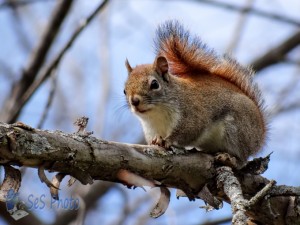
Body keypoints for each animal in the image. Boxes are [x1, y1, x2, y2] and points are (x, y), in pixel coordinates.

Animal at [123, 20, 266, 166]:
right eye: (124, 90)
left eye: (154, 84)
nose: (134, 101)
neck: (157, 115)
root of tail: (260, 137)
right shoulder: (151, 129)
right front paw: (157, 140)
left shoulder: (193, 115)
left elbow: (188, 131)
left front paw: (167, 140)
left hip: (238, 129)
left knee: (242, 159)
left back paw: (230, 159)